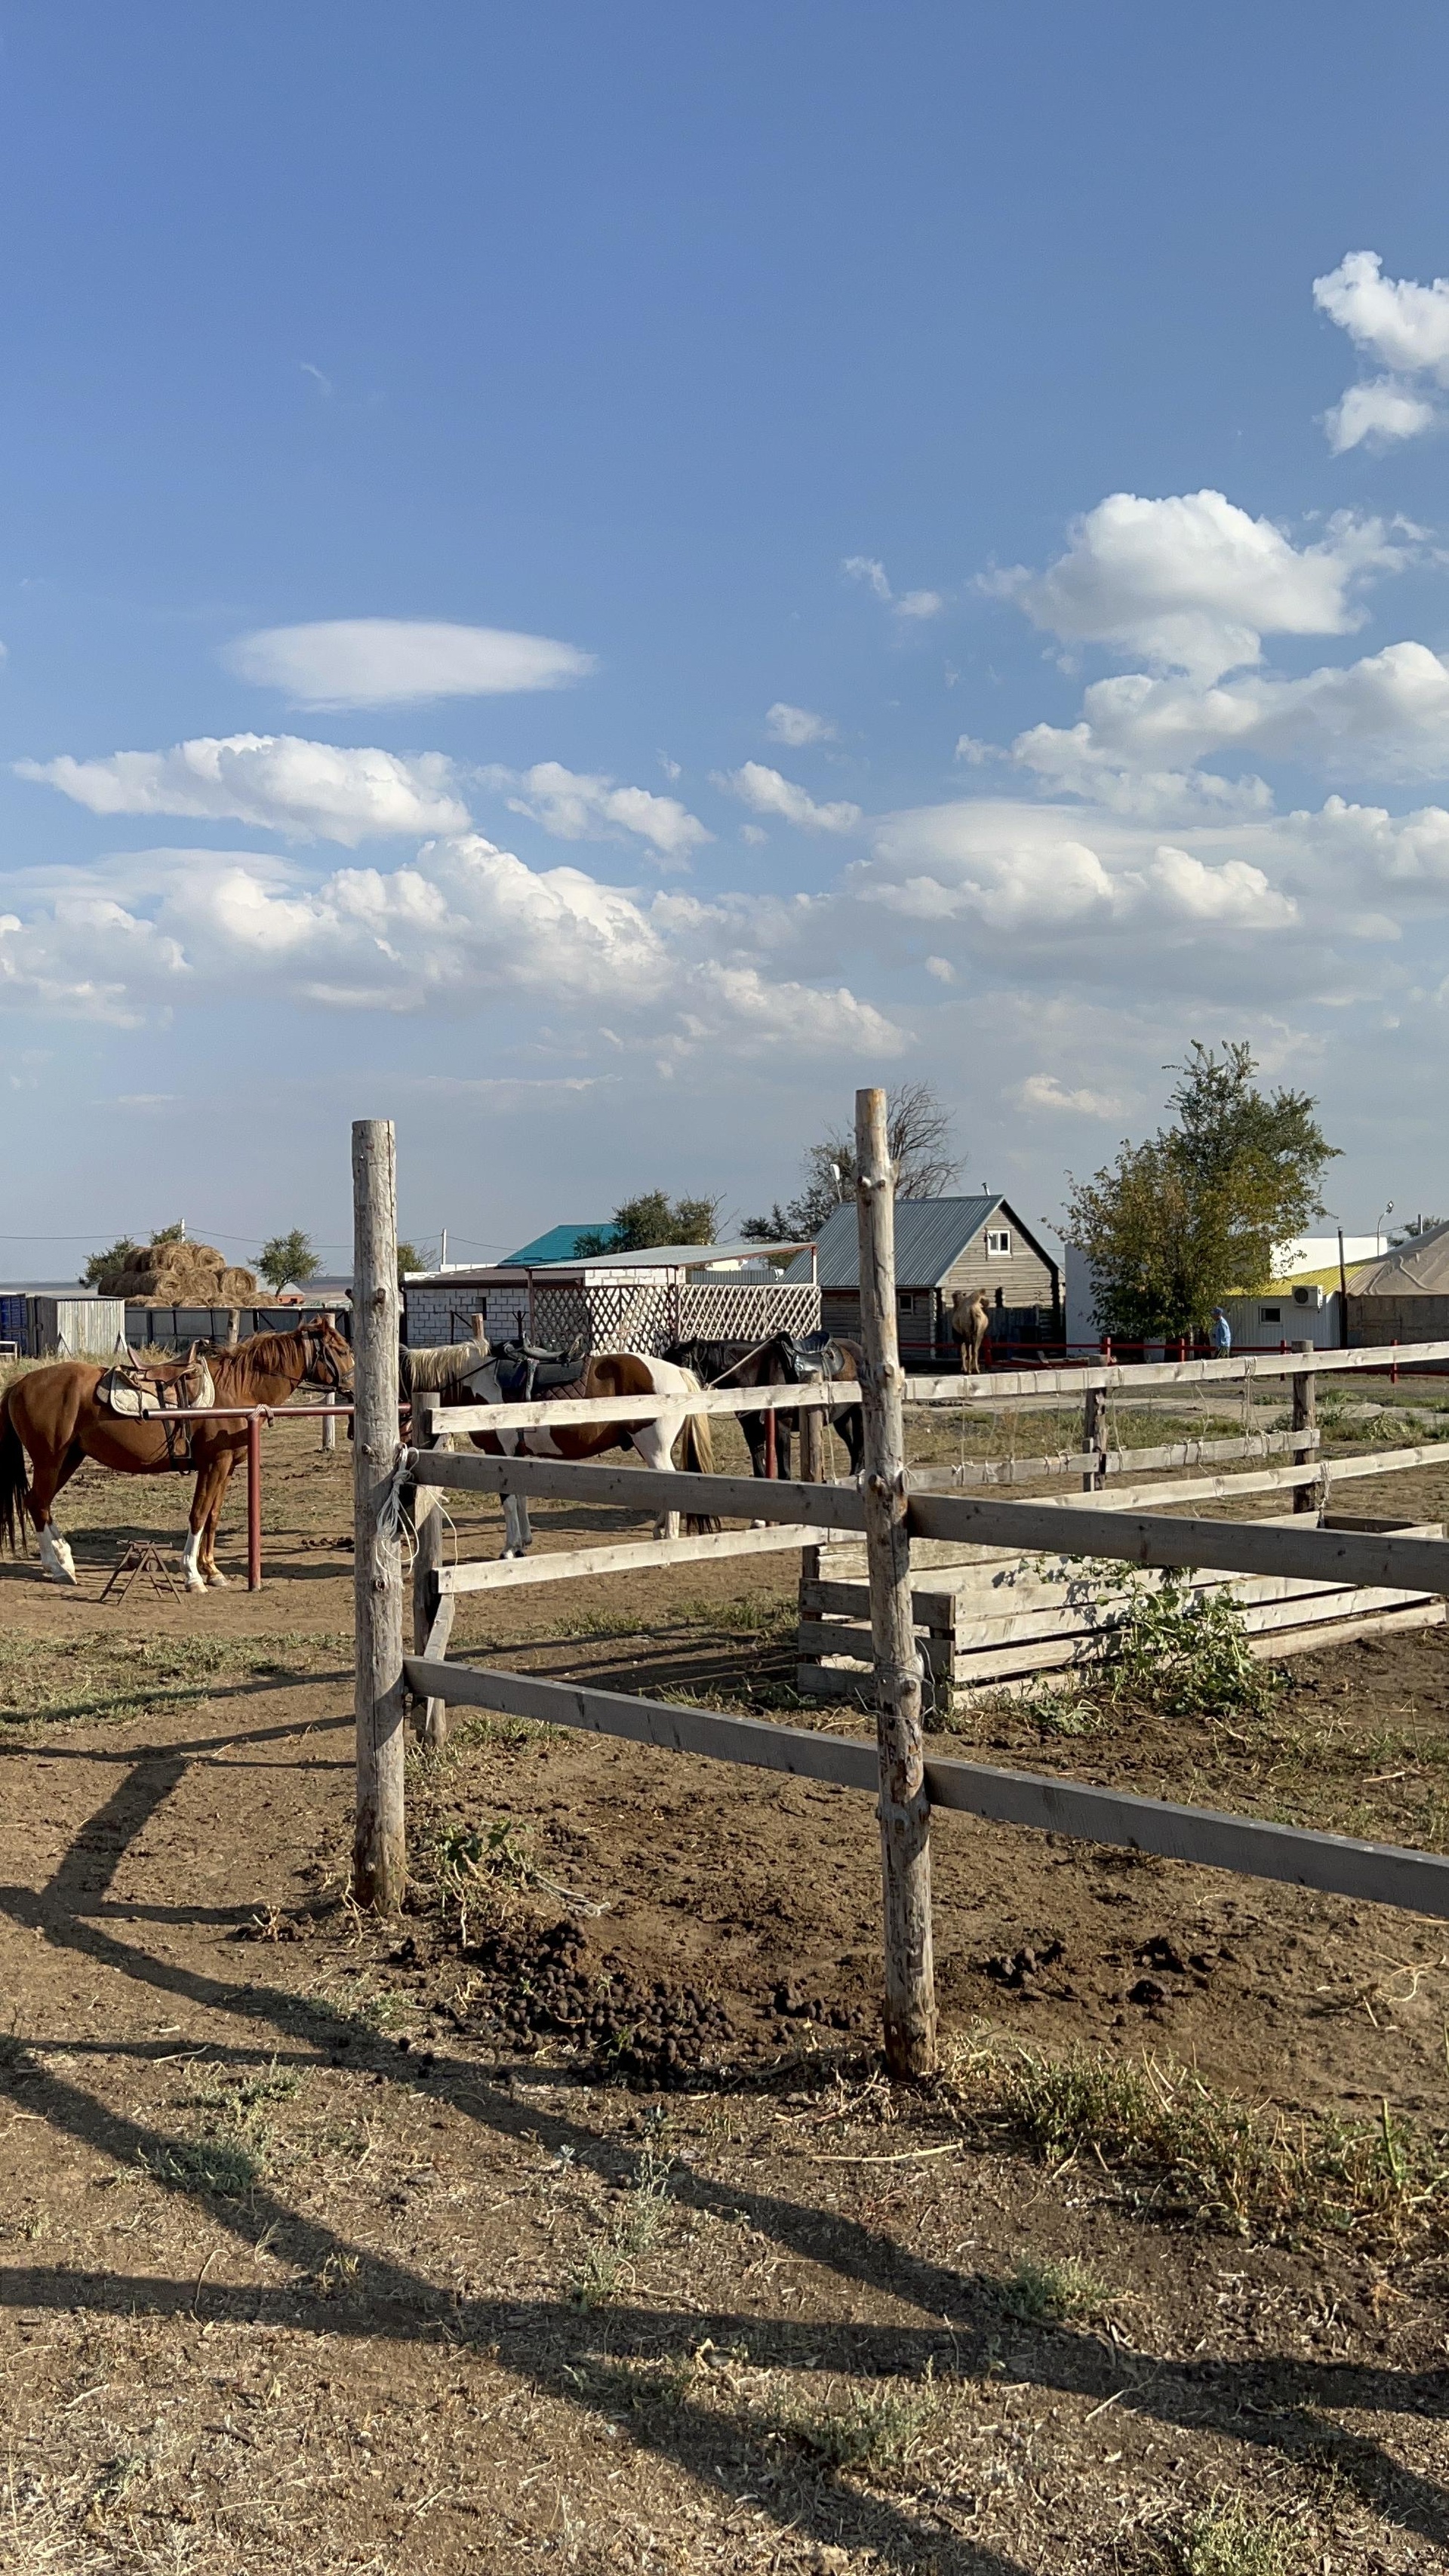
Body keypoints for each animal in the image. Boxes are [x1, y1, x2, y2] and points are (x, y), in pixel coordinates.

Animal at [0, 1329, 352, 1587]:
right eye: (342, 1349)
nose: (353, 1385)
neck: (237, 1389)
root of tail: (18, 1385)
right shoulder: (214, 1464)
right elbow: (198, 1515)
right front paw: (192, 1575)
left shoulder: (225, 1467)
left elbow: (212, 1517)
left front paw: (212, 1571)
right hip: (50, 1460)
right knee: (38, 1503)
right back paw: (59, 1568)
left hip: (68, 1458)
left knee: (39, 1503)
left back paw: (64, 1561)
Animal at [401, 1339, 720, 1556]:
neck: (476, 1381)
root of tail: (677, 1372)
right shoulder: (517, 1455)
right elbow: (521, 1497)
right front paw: (524, 1542)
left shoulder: (500, 1454)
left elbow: (509, 1500)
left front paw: (510, 1548)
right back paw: (659, 1530)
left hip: (654, 1448)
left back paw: (670, 1539)